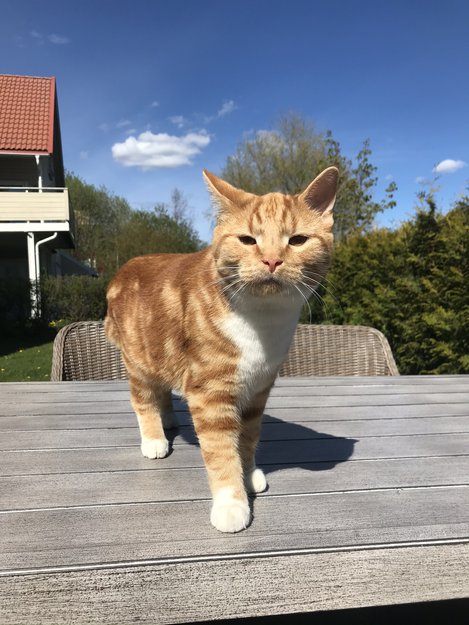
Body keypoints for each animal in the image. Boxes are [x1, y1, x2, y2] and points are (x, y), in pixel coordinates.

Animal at [105, 166, 338, 533]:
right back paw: (154, 437)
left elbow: (248, 438)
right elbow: (221, 451)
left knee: (163, 389)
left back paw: (169, 420)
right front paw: (231, 503)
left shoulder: (258, 390)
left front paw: (249, 473)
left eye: (297, 240)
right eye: (248, 240)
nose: (272, 260)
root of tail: (123, 269)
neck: (262, 322)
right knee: (143, 397)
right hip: (138, 358)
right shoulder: (210, 393)